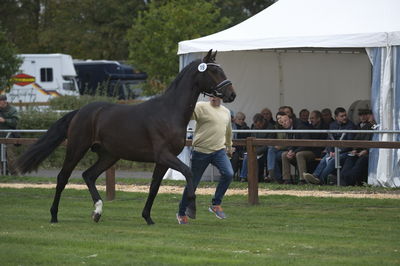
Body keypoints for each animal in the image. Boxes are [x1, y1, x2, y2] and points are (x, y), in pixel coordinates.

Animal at [15, 50, 236, 224]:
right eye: (214, 71)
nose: (232, 94)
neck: (169, 112)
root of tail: (81, 111)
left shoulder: (162, 160)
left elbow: (154, 187)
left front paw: (148, 217)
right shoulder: (164, 155)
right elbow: (188, 173)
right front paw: (191, 209)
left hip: (109, 155)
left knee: (89, 175)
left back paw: (97, 212)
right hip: (77, 148)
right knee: (63, 177)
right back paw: (54, 215)